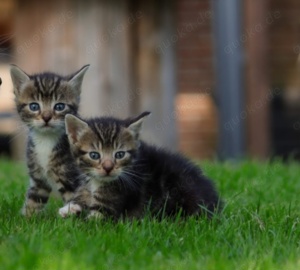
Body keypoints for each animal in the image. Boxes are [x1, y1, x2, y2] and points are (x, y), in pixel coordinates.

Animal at [10, 64, 90, 216]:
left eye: (59, 106)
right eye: (34, 106)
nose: (46, 117)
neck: (45, 141)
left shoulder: (73, 180)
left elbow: (75, 200)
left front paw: (72, 220)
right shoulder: (38, 179)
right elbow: (33, 201)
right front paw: (27, 218)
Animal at [59, 112, 223, 219]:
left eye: (119, 154)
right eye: (94, 155)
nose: (108, 168)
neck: (96, 182)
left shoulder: (110, 205)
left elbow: (93, 221)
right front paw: (70, 208)